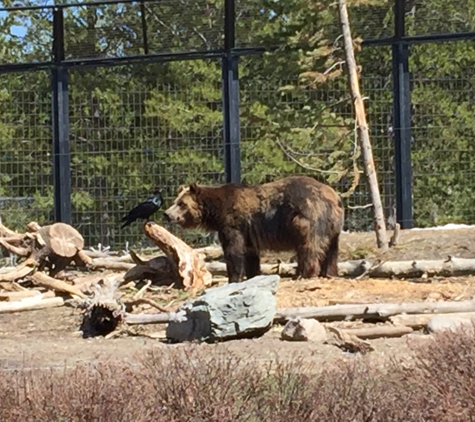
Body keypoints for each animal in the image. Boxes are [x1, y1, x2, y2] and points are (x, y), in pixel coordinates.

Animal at [165, 176, 346, 282]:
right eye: (176, 201)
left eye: (181, 204)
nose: (167, 214)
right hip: (333, 226)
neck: (215, 211)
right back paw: (329, 272)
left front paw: (234, 277)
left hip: (306, 216)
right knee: (332, 248)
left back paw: (306, 273)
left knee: (309, 244)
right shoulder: (249, 231)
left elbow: (233, 250)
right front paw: (253, 273)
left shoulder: (233, 223)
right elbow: (250, 253)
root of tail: (334, 196)